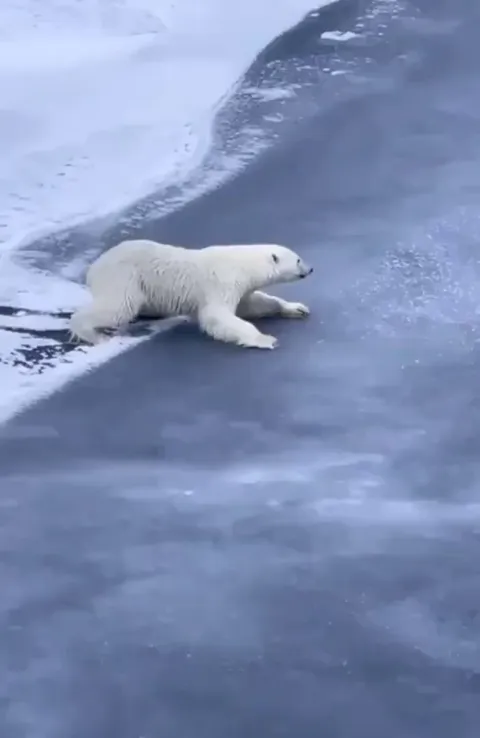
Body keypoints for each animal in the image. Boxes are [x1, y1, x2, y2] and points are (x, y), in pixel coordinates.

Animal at [69, 239, 313, 349]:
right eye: (298, 259)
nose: (310, 269)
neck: (242, 264)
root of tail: (93, 269)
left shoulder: (240, 288)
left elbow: (253, 304)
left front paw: (296, 308)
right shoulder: (222, 282)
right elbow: (217, 316)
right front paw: (265, 339)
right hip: (125, 277)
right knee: (118, 306)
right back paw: (92, 334)